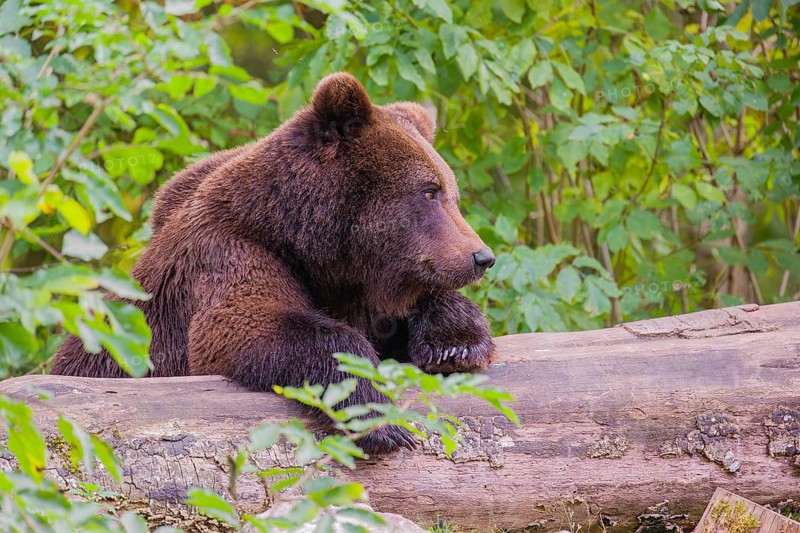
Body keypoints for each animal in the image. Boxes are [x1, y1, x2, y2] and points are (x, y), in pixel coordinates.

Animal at [52, 73, 496, 453]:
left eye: (451, 193)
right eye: (428, 192)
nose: (482, 257)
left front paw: (455, 342)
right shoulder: (234, 253)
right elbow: (250, 327)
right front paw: (380, 418)